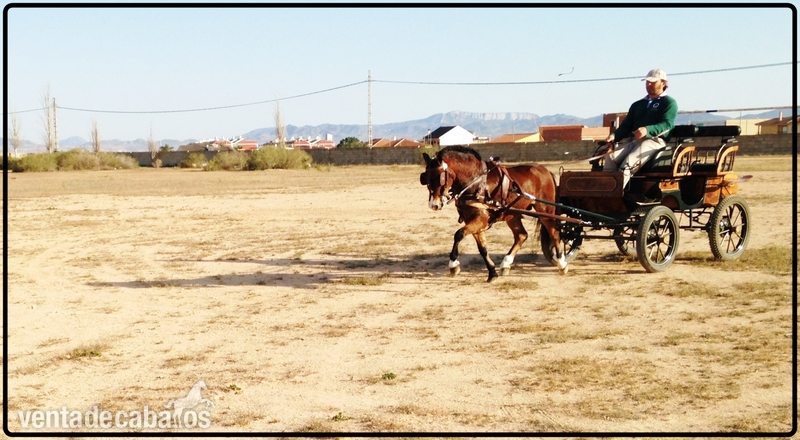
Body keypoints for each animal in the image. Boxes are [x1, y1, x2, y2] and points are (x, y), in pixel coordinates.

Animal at [420, 145, 568, 282]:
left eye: (440, 178)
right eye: (426, 178)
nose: (434, 205)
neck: (475, 182)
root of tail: (545, 170)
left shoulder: (481, 219)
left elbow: (459, 234)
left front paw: (453, 265)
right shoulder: (473, 221)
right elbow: (482, 248)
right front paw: (492, 272)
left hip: (545, 210)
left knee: (554, 233)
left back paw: (562, 264)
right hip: (512, 215)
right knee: (521, 235)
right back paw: (506, 264)